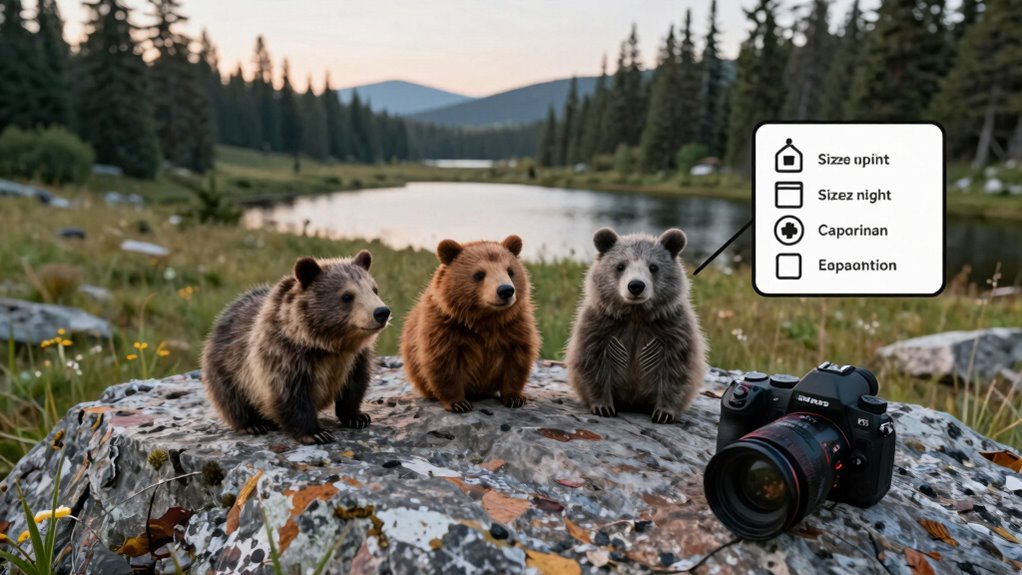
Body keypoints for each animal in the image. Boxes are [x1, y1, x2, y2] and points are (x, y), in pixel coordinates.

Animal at [201, 251, 390, 444]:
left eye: (374, 289)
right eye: (347, 296)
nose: (381, 312)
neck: (328, 344)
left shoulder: (355, 358)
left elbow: (355, 386)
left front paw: (358, 417)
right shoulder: (285, 357)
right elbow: (291, 396)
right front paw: (316, 433)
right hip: (228, 369)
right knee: (232, 400)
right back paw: (253, 424)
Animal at [400, 235, 540, 413]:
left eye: (510, 271)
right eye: (479, 274)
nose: (506, 290)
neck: (484, 320)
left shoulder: (514, 327)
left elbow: (517, 360)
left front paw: (515, 398)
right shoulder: (445, 329)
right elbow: (443, 364)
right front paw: (459, 403)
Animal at [566, 227, 708, 424]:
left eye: (653, 267)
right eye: (620, 266)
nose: (636, 285)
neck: (636, 314)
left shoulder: (674, 329)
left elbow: (677, 371)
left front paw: (663, 412)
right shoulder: (599, 327)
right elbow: (591, 364)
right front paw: (603, 406)